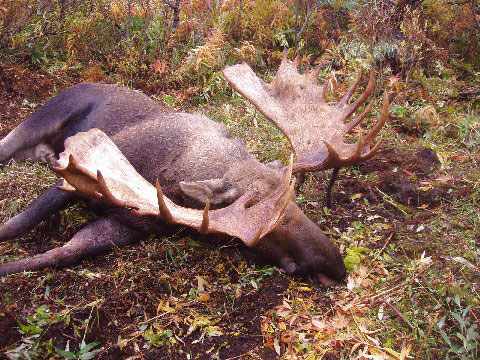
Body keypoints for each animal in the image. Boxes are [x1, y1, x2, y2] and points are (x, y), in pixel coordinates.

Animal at [0, 53, 388, 284]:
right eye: (265, 223)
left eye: (294, 200)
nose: (336, 266)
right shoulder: (73, 173)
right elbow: (17, 224)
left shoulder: (130, 223)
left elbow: (63, 253)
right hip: (37, 121)